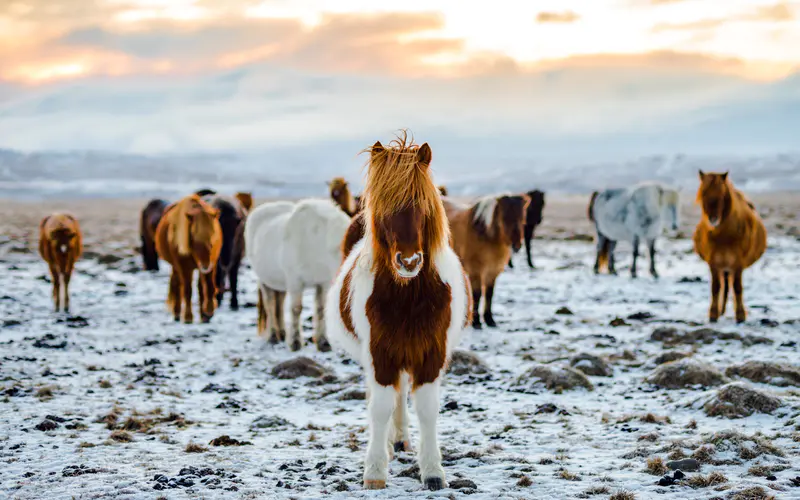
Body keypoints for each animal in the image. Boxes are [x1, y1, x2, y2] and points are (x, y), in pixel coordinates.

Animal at [155, 193, 222, 326]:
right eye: (193, 241)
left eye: (212, 241)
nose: (205, 266)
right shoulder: (184, 267)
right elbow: (187, 290)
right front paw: (188, 317)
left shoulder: (212, 264)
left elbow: (209, 287)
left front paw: (209, 312)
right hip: (177, 266)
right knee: (177, 284)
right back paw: (177, 313)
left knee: (200, 288)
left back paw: (203, 316)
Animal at [244, 197, 350, 350]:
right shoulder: (295, 281)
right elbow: (296, 309)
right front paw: (295, 342)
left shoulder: (323, 282)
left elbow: (320, 309)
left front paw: (323, 342)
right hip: (264, 280)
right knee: (270, 304)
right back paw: (273, 336)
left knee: (279, 303)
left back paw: (282, 333)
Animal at [328, 133, 472, 492]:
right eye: (383, 208)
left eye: (423, 206)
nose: (409, 262)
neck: (408, 297)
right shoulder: (380, 354)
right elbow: (378, 408)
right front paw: (375, 470)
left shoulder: (431, 354)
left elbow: (427, 409)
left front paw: (433, 471)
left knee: (401, 393)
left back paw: (401, 440)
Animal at [446, 193, 528, 330]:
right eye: (504, 217)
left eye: (522, 217)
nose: (516, 245)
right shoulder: (476, 271)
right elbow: (477, 294)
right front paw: (477, 322)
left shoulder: (493, 271)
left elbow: (489, 294)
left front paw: (490, 320)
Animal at [692, 170, 764, 322]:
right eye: (703, 194)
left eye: (722, 194)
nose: (713, 219)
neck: (724, 237)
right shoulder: (713, 262)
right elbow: (715, 287)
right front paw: (713, 314)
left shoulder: (738, 263)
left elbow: (737, 287)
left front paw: (740, 315)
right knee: (724, 285)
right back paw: (721, 310)